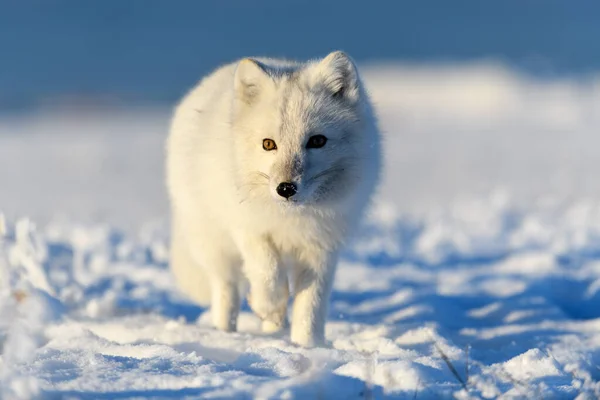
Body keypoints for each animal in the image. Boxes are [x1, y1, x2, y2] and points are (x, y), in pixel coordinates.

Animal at [165, 50, 380, 346]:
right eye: (268, 144)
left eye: (317, 141)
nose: (286, 188)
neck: (291, 219)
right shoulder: (248, 229)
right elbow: (267, 273)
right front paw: (267, 305)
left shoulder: (321, 247)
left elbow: (310, 304)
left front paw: (307, 346)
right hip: (214, 244)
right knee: (226, 290)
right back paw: (225, 333)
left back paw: (273, 332)